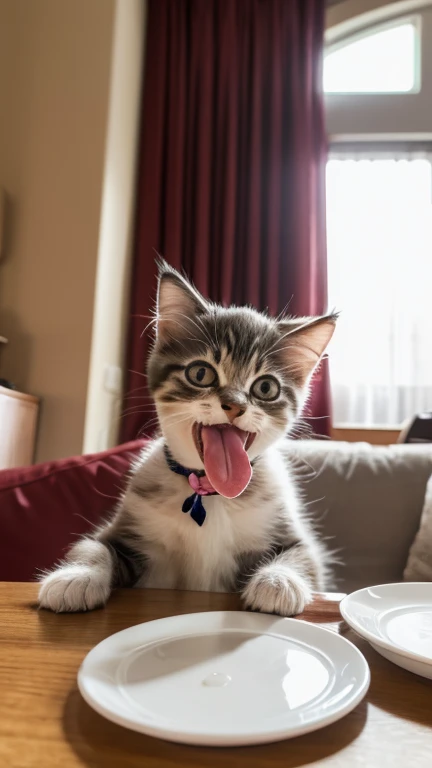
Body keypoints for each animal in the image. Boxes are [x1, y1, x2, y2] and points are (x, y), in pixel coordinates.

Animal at [38, 264, 336, 616]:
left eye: (265, 388)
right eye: (201, 373)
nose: (235, 405)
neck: (209, 492)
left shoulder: (293, 535)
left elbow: (301, 556)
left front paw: (279, 582)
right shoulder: (126, 528)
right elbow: (93, 545)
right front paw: (75, 576)